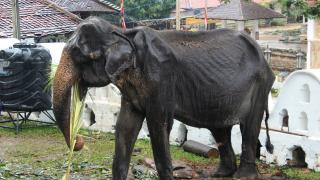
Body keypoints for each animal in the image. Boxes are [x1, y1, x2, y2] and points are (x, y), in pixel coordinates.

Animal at [52, 16, 276, 179]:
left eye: (79, 55)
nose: (80, 141)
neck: (122, 34)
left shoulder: (161, 78)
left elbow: (159, 125)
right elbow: (125, 126)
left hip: (260, 85)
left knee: (249, 127)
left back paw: (243, 176)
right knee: (220, 129)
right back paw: (221, 174)